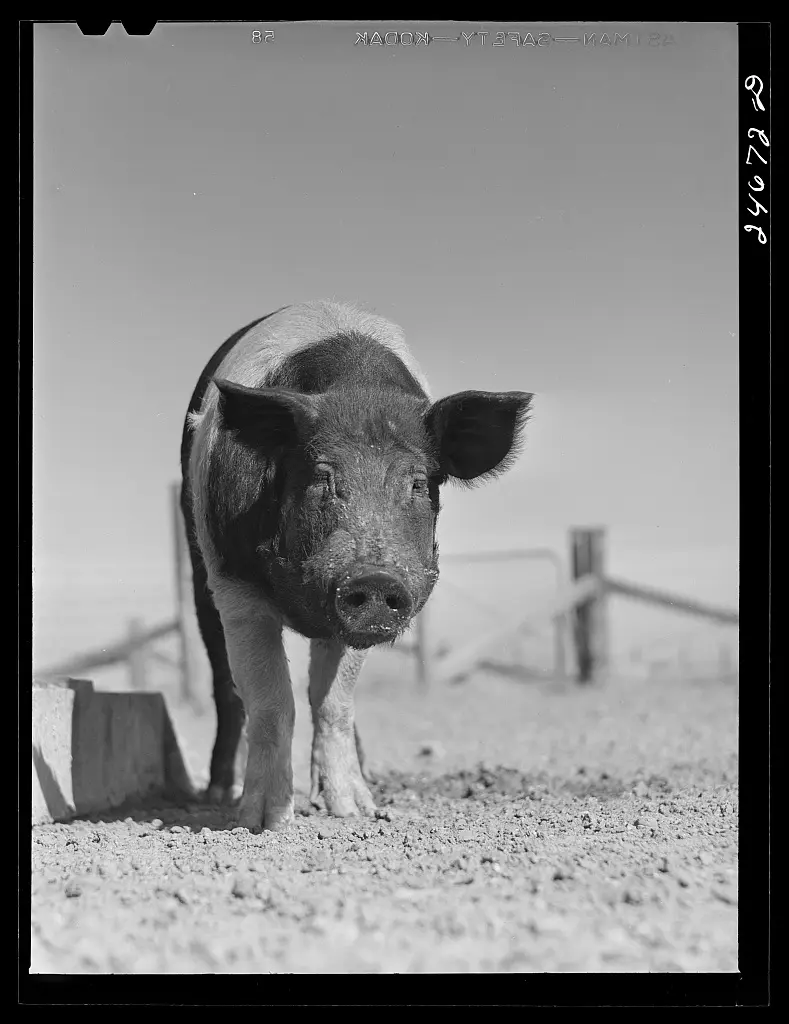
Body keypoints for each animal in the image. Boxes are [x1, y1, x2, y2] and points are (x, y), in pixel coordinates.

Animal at [180, 300, 532, 830]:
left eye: (418, 483)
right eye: (321, 477)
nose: (375, 577)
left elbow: (335, 701)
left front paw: (354, 811)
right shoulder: (233, 583)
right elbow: (270, 699)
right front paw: (262, 820)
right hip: (198, 574)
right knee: (226, 688)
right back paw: (220, 791)